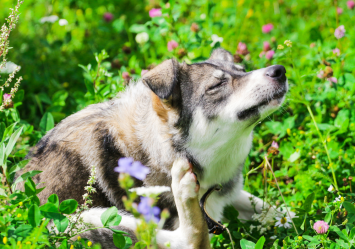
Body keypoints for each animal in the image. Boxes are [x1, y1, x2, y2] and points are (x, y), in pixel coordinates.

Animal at [19, 48, 288, 247]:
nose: (280, 70)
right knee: (188, 241)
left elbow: (274, 209)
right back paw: (183, 189)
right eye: (216, 86)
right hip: (81, 219)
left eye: (243, 71)